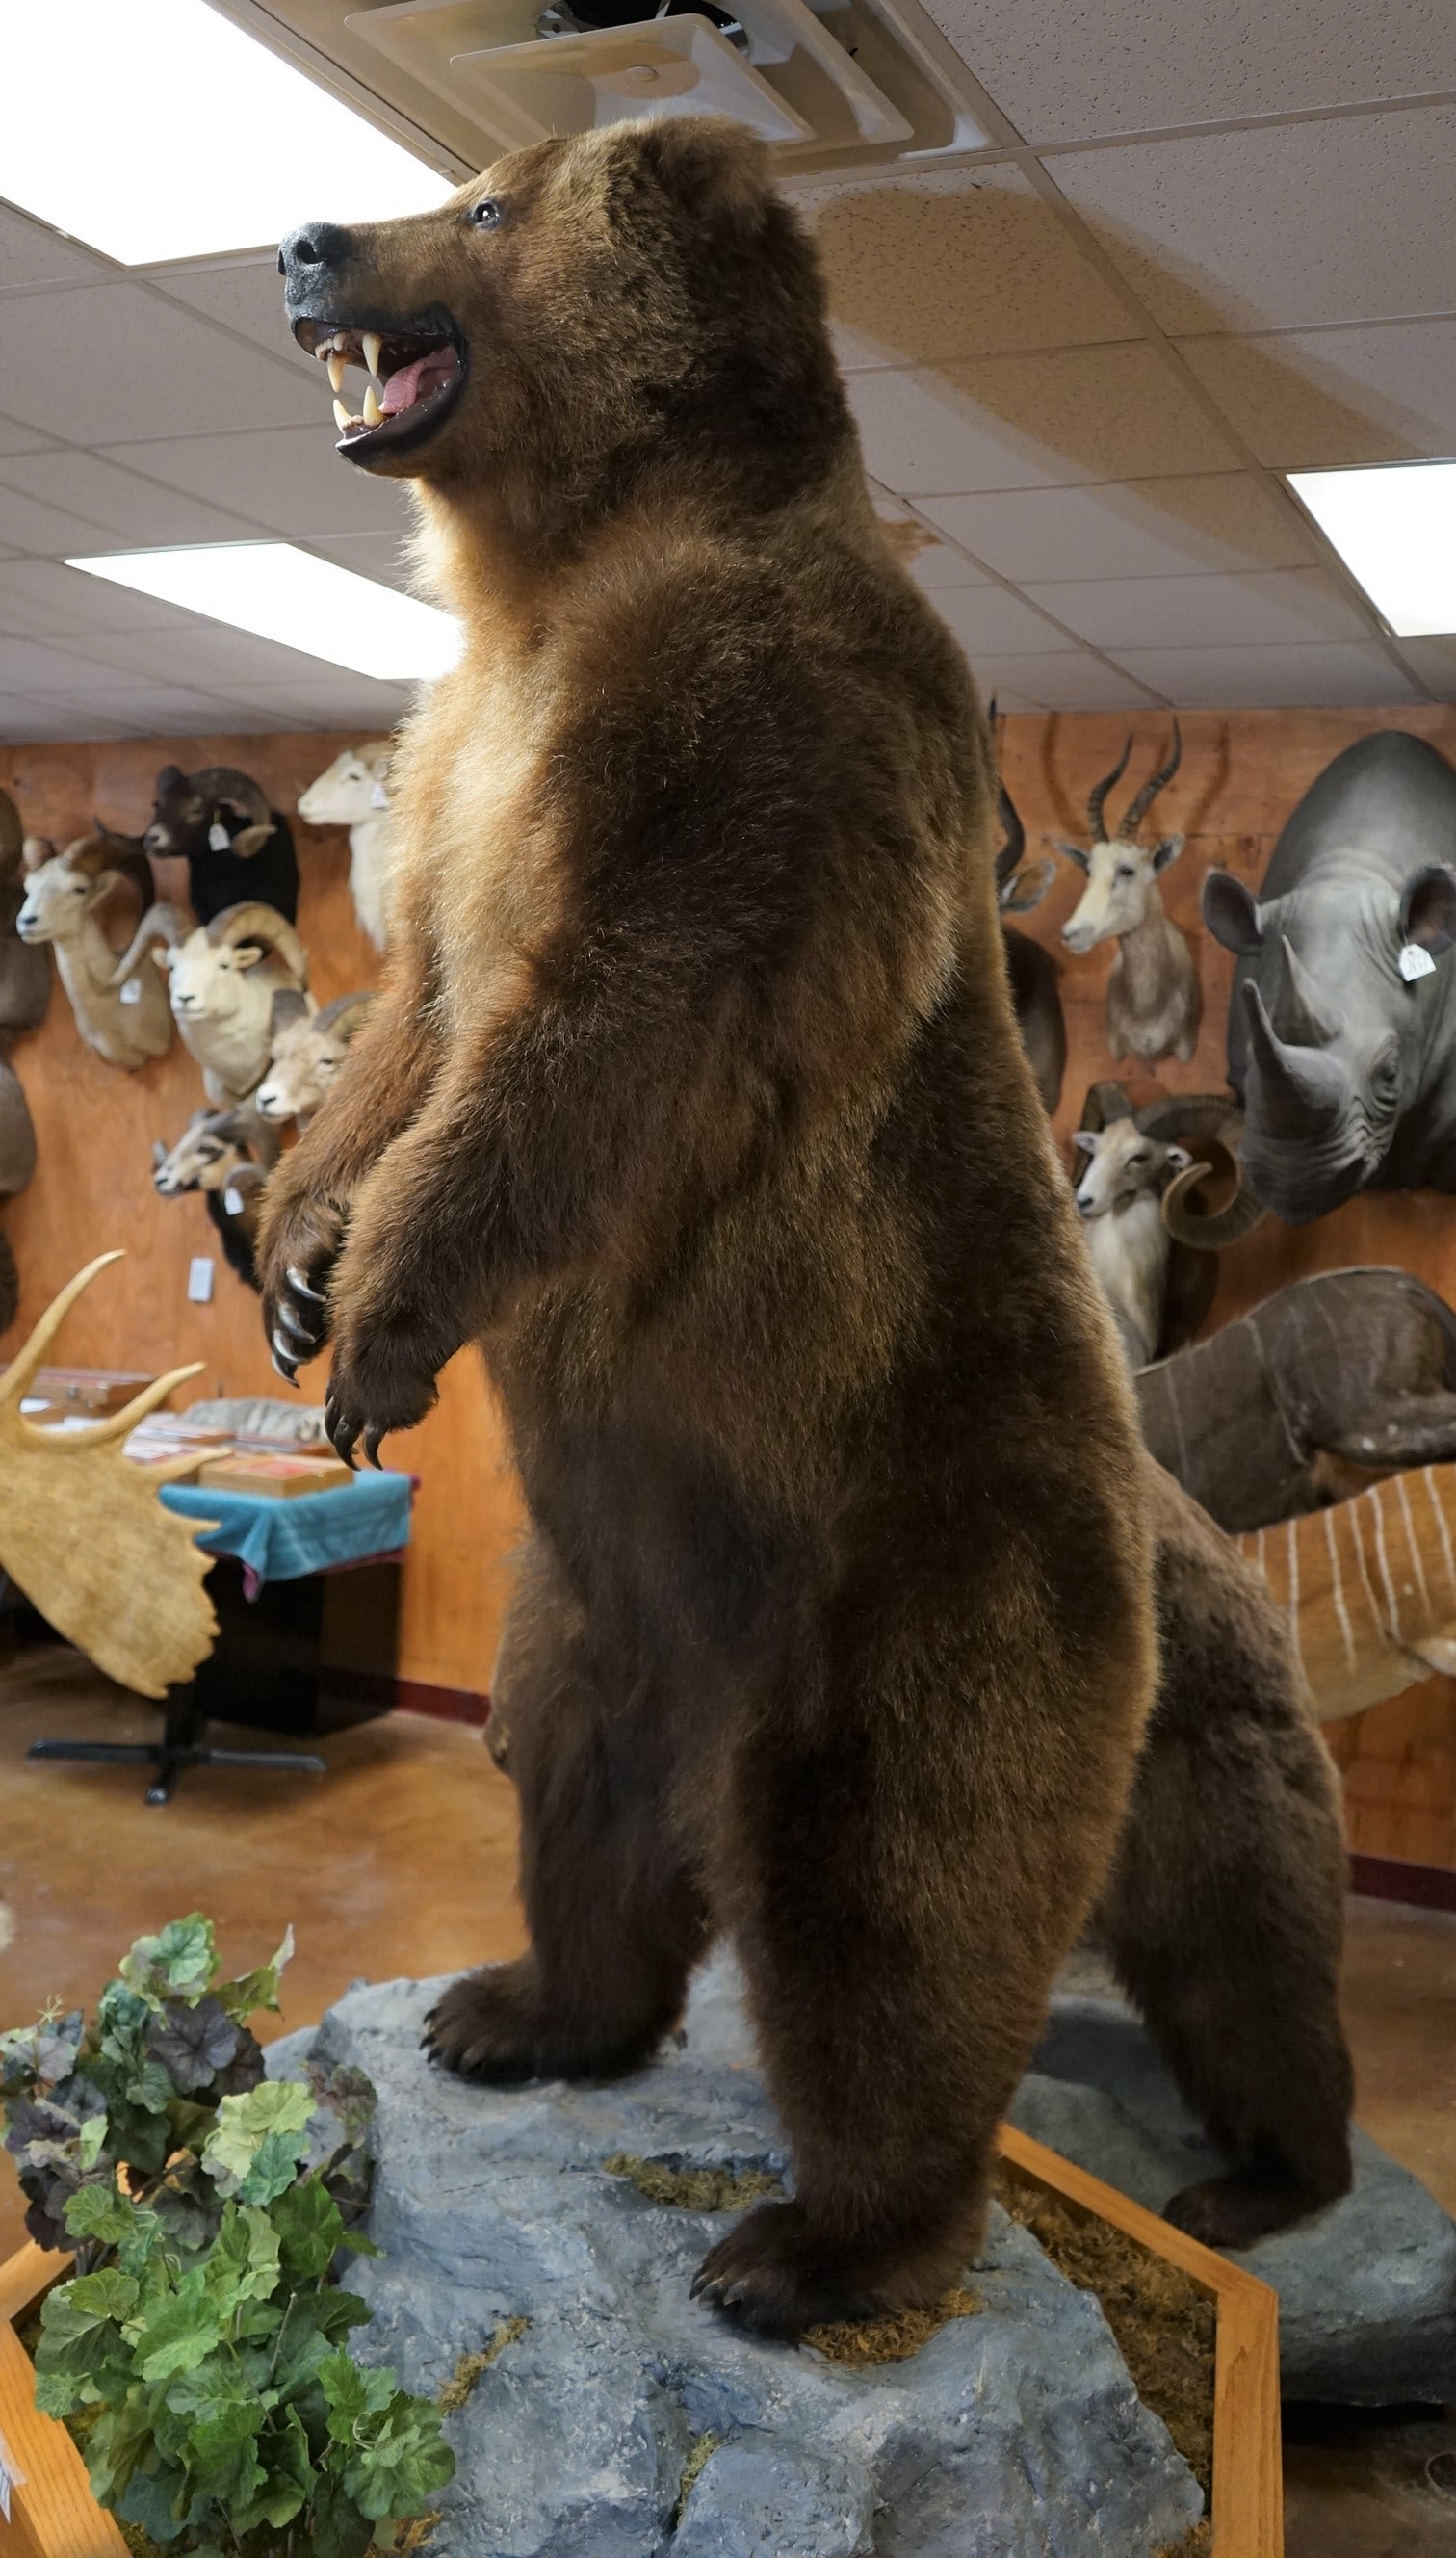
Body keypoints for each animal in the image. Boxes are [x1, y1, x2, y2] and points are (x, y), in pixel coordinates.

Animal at [264, 118, 1333, 2335]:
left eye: (480, 204)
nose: (304, 241)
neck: (557, 573)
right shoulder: (462, 765)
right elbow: (418, 1023)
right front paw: (303, 1260)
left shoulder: (758, 726)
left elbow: (604, 1023)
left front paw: (384, 1319)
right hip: (593, 1593)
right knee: (575, 1794)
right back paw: (520, 2006)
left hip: (924, 1564)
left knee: (890, 1896)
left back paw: (831, 2237)